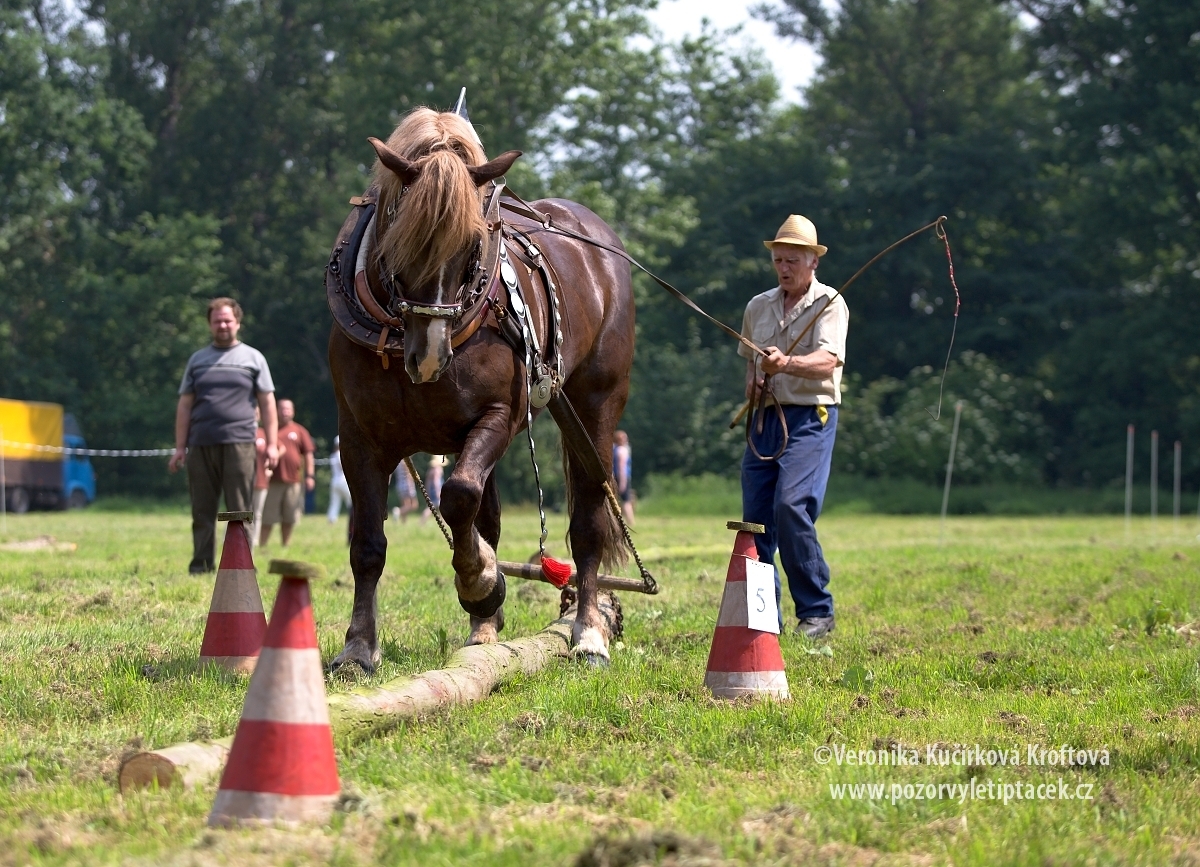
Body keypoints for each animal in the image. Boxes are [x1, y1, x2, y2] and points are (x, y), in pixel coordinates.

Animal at [324, 103, 633, 667]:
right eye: (401, 235)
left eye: (474, 243)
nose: (429, 355)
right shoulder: (358, 436)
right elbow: (369, 545)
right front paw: (358, 647)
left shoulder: (497, 416)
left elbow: (461, 496)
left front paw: (481, 579)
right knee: (486, 516)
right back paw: (484, 629)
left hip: (595, 406)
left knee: (587, 522)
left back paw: (587, 631)